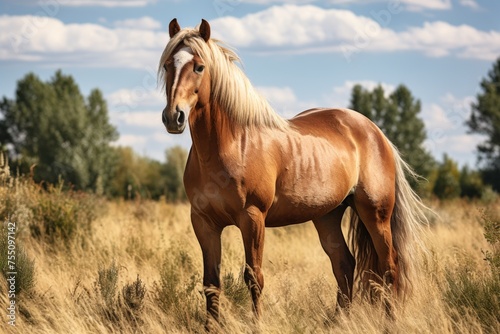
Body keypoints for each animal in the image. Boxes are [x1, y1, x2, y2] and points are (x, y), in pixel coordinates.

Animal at [158, 18, 428, 328]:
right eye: (168, 65)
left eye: (199, 66)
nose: (173, 117)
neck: (230, 144)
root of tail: (375, 132)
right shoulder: (204, 222)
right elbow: (211, 282)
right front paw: (210, 326)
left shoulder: (252, 218)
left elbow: (253, 276)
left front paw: (257, 324)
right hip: (327, 216)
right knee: (345, 264)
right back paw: (338, 321)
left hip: (375, 213)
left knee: (389, 266)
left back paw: (389, 321)